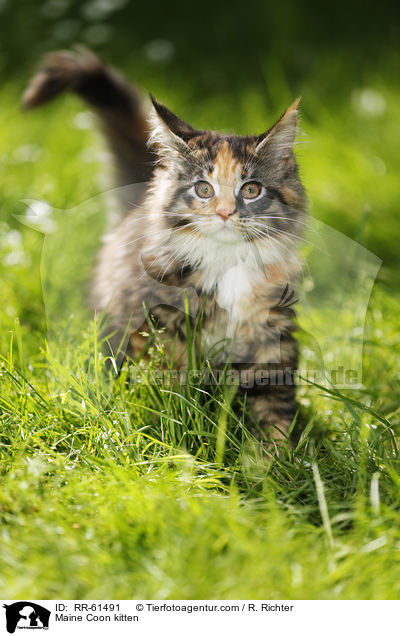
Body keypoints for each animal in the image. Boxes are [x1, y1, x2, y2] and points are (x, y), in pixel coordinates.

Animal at [24, 48, 306, 442]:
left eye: (251, 190)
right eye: (203, 189)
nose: (225, 212)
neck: (226, 264)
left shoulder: (273, 335)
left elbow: (273, 406)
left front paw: (273, 454)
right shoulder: (158, 328)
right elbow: (170, 397)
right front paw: (177, 441)